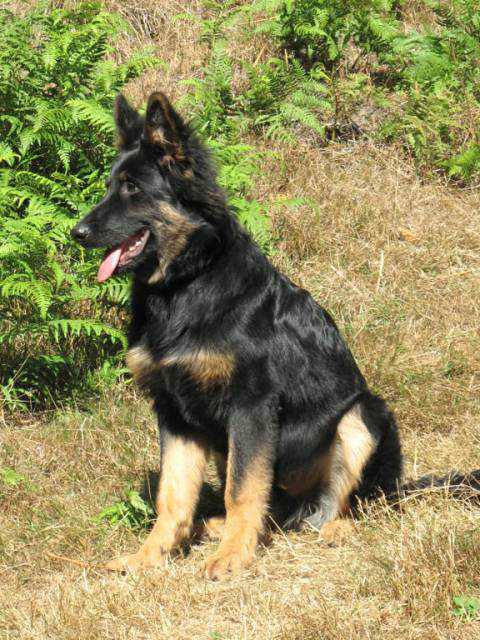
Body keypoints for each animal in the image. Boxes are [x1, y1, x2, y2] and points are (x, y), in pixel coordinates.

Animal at [71, 92, 479, 580]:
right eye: (110, 186)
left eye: (132, 188)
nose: (76, 233)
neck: (187, 283)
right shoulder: (175, 414)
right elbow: (173, 495)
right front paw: (151, 555)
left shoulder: (252, 408)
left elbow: (242, 489)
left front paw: (233, 556)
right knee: (278, 510)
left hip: (363, 416)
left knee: (353, 504)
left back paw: (334, 527)